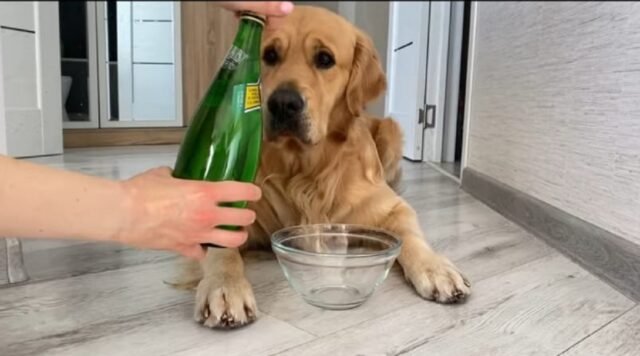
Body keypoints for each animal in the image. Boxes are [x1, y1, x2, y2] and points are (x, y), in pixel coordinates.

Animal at [180, 5, 470, 328]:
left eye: (324, 59)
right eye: (269, 55)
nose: (283, 103)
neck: (305, 167)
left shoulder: (390, 207)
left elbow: (410, 235)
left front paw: (436, 268)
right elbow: (222, 250)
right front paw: (225, 287)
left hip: (391, 131)